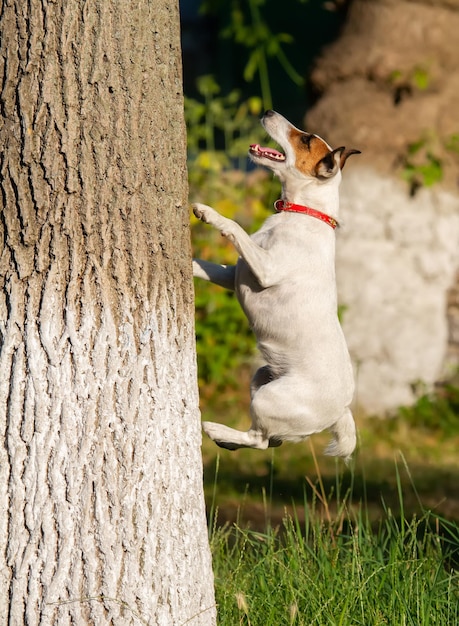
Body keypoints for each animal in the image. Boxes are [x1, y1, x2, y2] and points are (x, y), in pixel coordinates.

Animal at [192, 108, 362, 458]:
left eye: (306, 139)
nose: (269, 111)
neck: (301, 212)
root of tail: (341, 411)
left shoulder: (265, 269)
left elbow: (233, 227)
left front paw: (209, 213)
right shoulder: (235, 274)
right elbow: (206, 266)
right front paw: (188, 264)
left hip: (270, 398)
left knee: (260, 439)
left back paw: (214, 429)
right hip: (261, 376)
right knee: (272, 439)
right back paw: (225, 438)